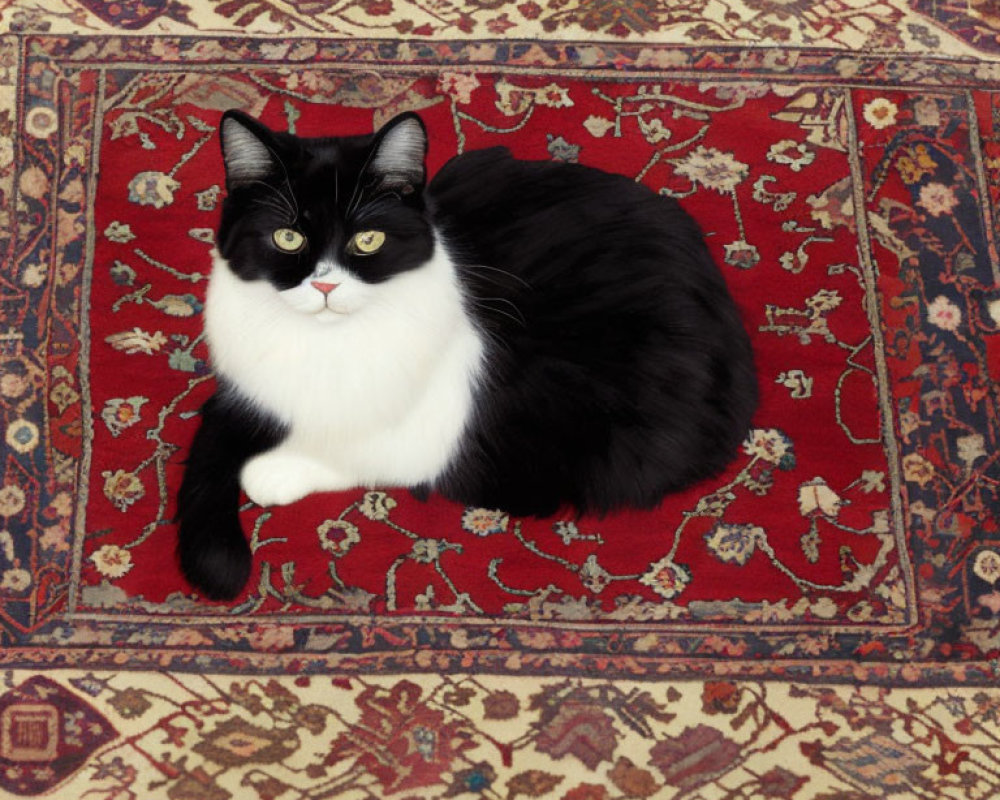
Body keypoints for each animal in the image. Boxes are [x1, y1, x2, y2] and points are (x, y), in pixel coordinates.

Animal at [178, 111, 756, 600]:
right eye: (287, 237)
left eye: (368, 240)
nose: (323, 285)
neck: (326, 345)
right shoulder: (246, 392)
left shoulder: (442, 430)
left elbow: (353, 450)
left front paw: (273, 472)